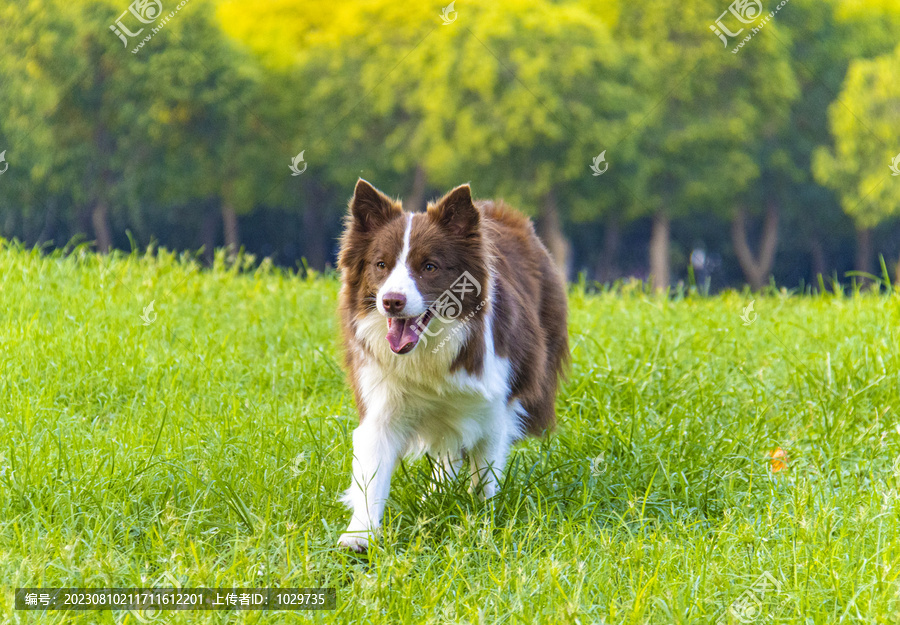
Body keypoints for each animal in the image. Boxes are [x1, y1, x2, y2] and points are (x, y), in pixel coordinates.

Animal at [334, 179, 568, 552]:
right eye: (381, 264)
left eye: (429, 266)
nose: (391, 301)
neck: (429, 350)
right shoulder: (382, 396)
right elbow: (373, 467)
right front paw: (360, 536)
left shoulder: (495, 402)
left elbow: (485, 468)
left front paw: (482, 519)